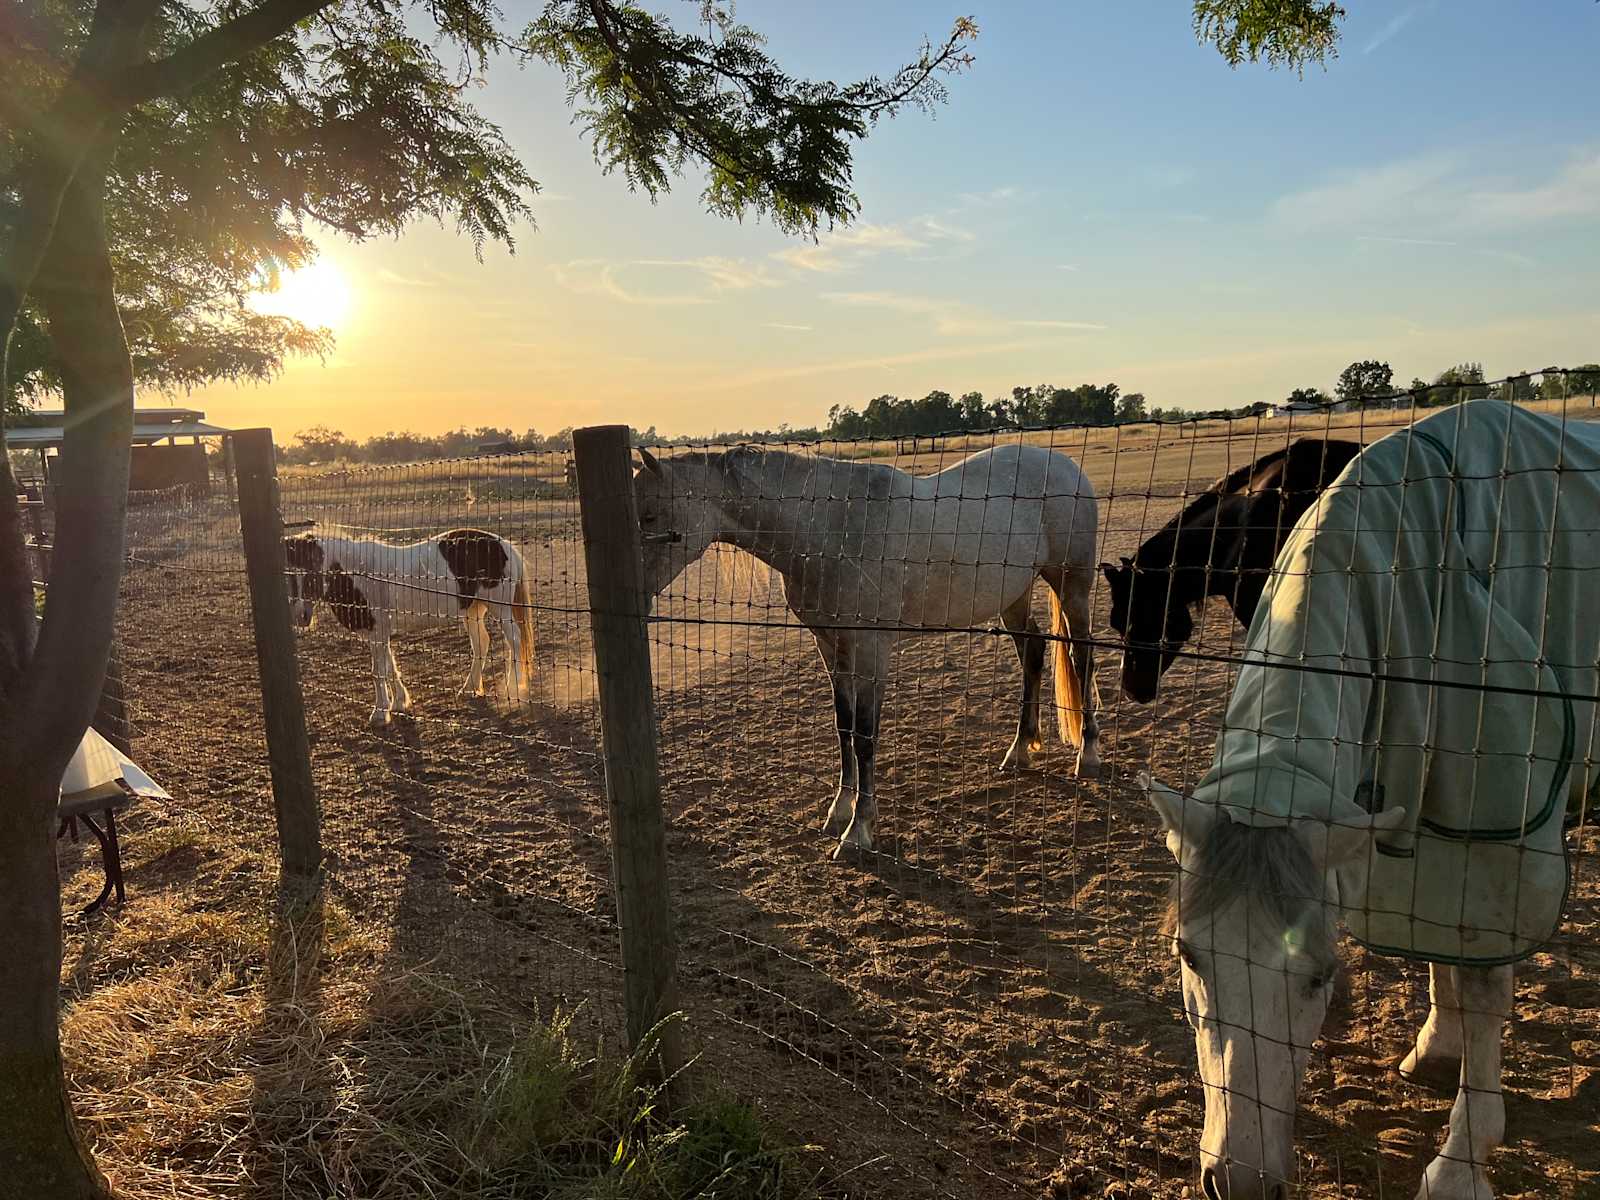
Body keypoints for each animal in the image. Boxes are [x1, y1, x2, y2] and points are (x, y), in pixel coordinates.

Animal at [283, 528, 536, 728]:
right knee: (481, 644)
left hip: (500, 608)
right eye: (287, 575)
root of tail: (504, 545)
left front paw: (380, 714)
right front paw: (399, 703)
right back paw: (470, 688)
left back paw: (513, 689)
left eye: (310, 572)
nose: (301, 617)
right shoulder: (379, 631)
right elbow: (390, 666)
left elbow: (378, 671)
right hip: (473, 611)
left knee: (514, 641)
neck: (359, 573)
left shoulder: (377, 629)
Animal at [632, 442, 1101, 860]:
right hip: (1013, 596)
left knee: (1082, 659)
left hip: (1072, 586)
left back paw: (1088, 754)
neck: (829, 528)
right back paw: (1019, 749)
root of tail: (1065, 466)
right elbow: (844, 727)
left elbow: (866, 737)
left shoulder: (870, 651)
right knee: (1033, 654)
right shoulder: (831, 648)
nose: (637, 600)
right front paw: (839, 810)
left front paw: (858, 831)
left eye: (651, 516)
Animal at [1144, 400, 1600, 1199]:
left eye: (1322, 975)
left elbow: (1485, 985)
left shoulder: (1499, 835)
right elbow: (1443, 950)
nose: (1241, 1182)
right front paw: (1438, 1046)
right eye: (1188, 956)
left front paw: (1460, 1163)